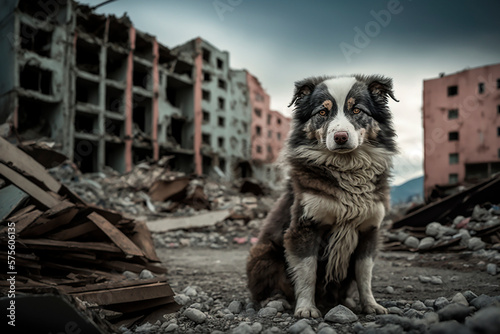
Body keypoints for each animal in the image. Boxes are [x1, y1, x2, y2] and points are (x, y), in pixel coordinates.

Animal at [246, 74, 398, 318]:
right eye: (323, 112)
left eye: (357, 110)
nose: (341, 137)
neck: (347, 168)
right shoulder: (304, 227)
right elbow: (308, 271)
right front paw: (306, 308)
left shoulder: (369, 229)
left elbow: (364, 274)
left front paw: (370, 304)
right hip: (262, 252)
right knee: (264, 288)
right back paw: (275, 299)